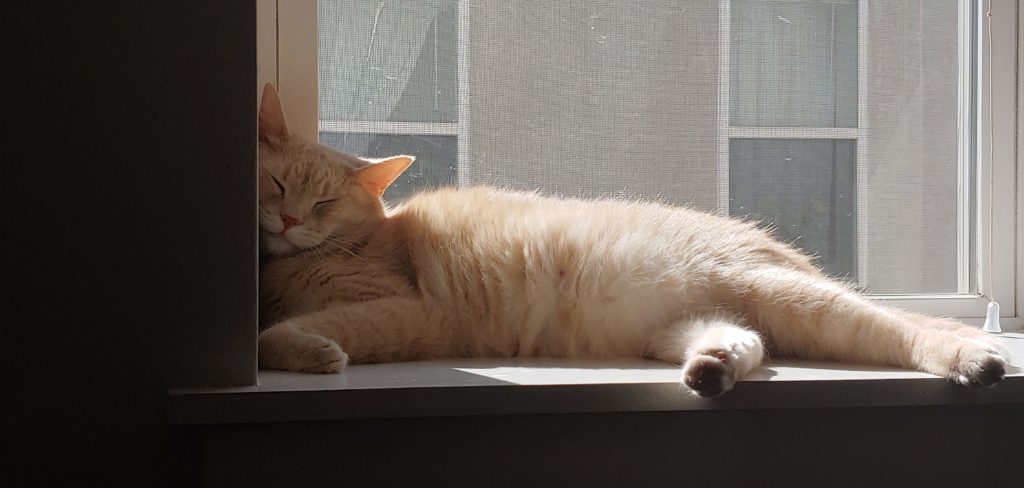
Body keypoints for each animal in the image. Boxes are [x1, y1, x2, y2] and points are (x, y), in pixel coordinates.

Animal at [253, 83, 1007, 394]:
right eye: (277, 186)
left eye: (321, 201)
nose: (290, 222)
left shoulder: (411, 311)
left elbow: (297, 332)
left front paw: (304, 349)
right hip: (688, 323)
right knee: (746, 340)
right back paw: (712, 371)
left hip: (797, 298)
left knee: (909, 330)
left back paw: (978, 359)